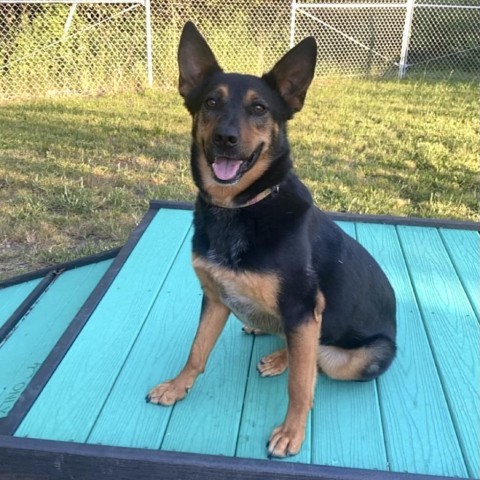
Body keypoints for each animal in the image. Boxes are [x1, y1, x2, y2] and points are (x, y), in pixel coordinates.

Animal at [147, 21, 398, 458]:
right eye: (211, 102)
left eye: (259, 109)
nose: (225, 138)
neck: (238, 209)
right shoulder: (215, 299)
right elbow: (197, 351)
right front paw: (178, 386)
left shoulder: (301, 307)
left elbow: (300, 384)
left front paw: (292, 432)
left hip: (352, 354)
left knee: (316, 357)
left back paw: (283, 356)